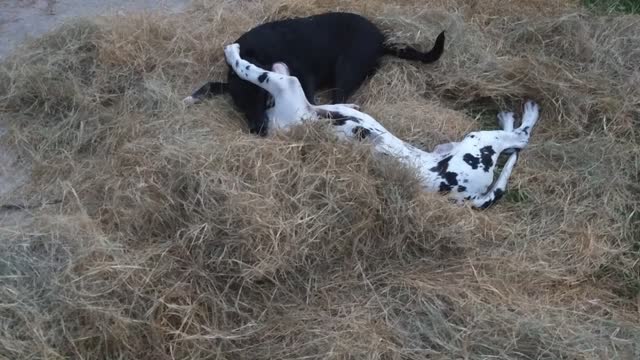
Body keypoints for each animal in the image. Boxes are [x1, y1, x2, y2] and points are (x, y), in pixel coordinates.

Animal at [184, 11, 444, 136]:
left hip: (346, 67)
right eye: (239, 105)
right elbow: (212, 84)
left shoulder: (304, 77)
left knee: (338, 99)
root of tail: (382, 41)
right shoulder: (232, 82)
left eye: (260, 96)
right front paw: (192, 97)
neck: (256, 52)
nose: (258, 131)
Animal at [222, 43, 536, 210]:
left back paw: (518, 116)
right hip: (470, 142)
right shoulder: (290, 89)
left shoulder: (293, 90)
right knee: (517, 141)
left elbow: (253, 70)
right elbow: (256, 72)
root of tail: (471, 199)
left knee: (517, 141)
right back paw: (519, 117)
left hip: (467, 142)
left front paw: (234, 54)